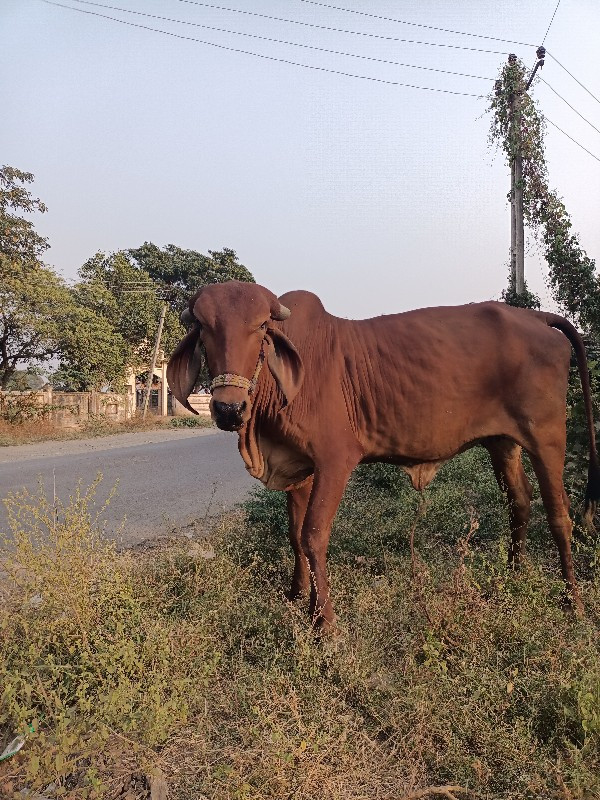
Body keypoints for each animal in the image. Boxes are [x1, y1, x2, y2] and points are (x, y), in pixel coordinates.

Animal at [166, 282, 596, 632]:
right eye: (203, 328)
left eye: (260, 327)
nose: (228, 409)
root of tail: (537, 317)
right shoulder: (300, 468)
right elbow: (294, 533)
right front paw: (296, 596)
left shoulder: (335, 461)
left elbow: (313, 535)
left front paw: (324, 623)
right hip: (502, 442)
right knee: (519, 502)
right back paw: (513, 576)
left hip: (546, 436)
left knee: (560, 515)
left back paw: (572, 603)